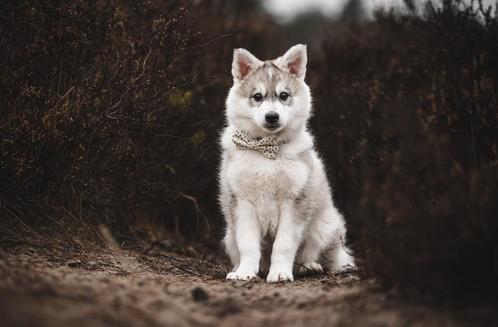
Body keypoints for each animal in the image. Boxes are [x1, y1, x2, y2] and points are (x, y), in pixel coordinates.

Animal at [219, 44, 354, 284]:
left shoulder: (294, 202)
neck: (267, 148)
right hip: (229, 235)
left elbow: (284, 245)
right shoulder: (242, 203)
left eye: (284, 96)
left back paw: (311, 266)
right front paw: (245, 272)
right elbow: (248, 244)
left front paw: (280, 272)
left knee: (326, 255)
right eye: (257, 96)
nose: (272, 117)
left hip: (325, 226)